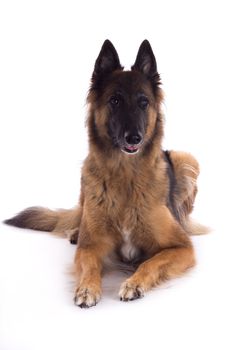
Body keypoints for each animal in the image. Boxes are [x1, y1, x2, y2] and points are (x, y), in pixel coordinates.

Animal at [4, 40, 208, 306]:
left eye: (144, 102)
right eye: (115, 101)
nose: (134, 138)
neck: (126, 177)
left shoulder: (182, 248)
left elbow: (152, 262)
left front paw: (134, 283)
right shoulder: (90, 246)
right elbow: (90, 264)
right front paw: (87, 288)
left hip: (186, 159)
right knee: (80, 216)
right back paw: (76, 230)